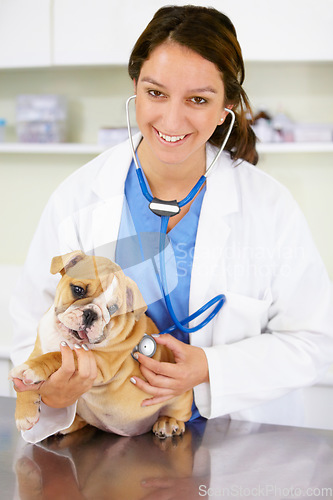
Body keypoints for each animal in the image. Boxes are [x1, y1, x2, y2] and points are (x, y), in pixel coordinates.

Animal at [10, 250, 192, 438]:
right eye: (78, 290)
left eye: (112, 309)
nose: (91, 314)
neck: (67, 337)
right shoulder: (38, 350)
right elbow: (27, 378)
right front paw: (24, 413)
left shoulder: (99, 362)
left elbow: (56, 356)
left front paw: (31, 369)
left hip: (182, 397)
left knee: (180, 413)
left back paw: (169, 422)